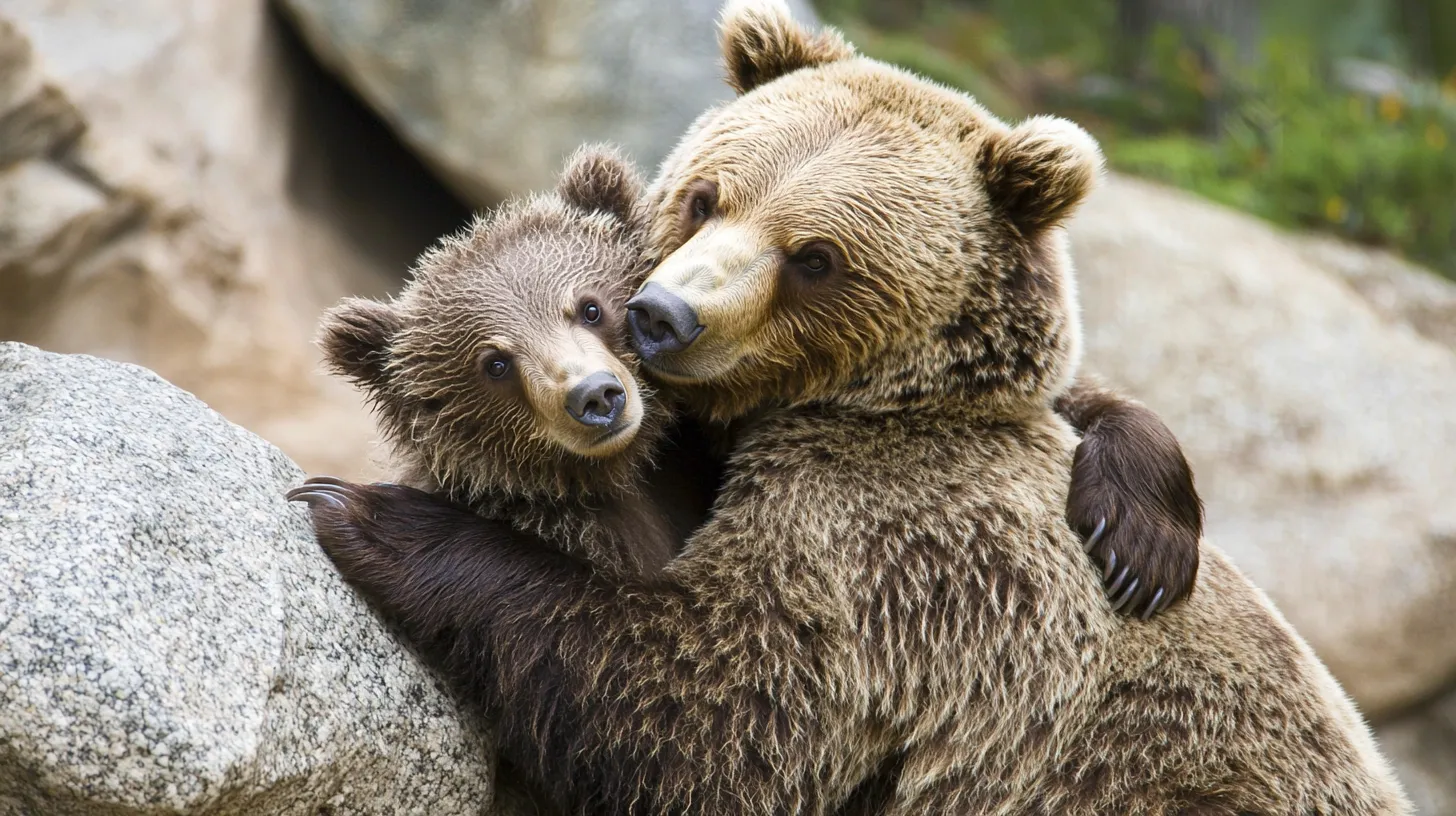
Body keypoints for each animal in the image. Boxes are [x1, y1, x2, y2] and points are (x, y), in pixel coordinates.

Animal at [288, 2, 1409, 810]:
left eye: (816, 256)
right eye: (708, 195)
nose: (659, 317)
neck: (849, 408)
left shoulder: (894, 548)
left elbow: (722, 712)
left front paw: (377, 515)